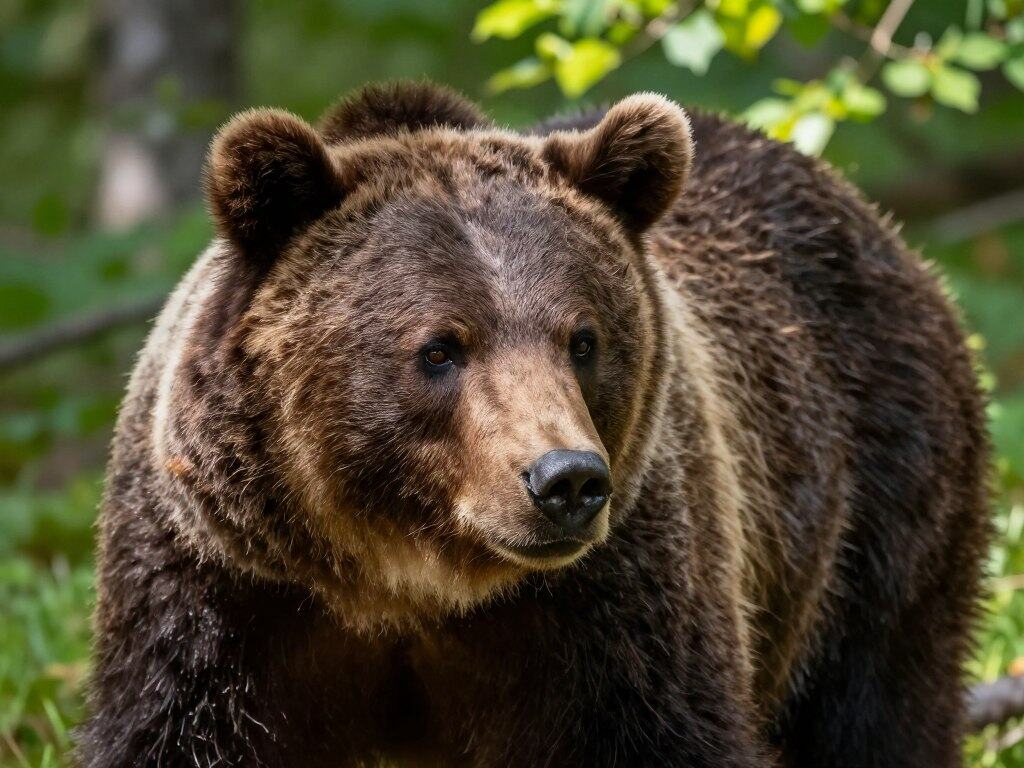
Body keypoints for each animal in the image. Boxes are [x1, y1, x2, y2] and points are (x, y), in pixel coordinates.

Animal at [79, 81, 990, 767]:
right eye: (440, 348)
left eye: (582, 339)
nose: (567, 480)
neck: (404, 582)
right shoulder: (221, 595)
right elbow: (171, 731)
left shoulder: (613, 609)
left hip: (880, 502)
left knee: (882, 707)